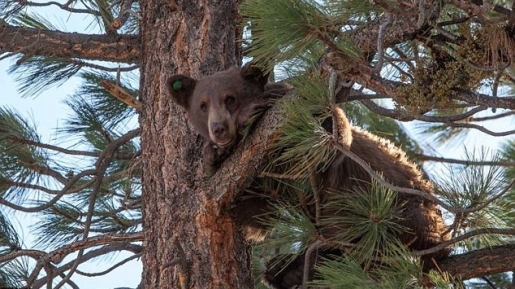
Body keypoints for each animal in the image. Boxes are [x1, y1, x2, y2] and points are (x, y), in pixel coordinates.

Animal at [166, 64, 452, 286]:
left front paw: (254, 110)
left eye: (230, 98)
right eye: (202, 105)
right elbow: (255, 213)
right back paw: (283, 269)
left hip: (402, 209)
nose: (219, 129)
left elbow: (333, 133)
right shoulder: (262, 175)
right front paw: (213, 157)